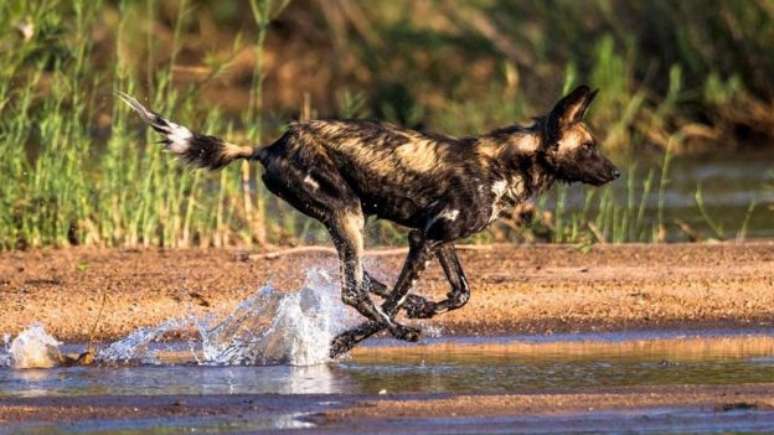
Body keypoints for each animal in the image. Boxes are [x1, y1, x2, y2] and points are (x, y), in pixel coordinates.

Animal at [119, 84, 620, 358]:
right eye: (589, 147)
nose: (616, 173)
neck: (505, 164)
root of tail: (269, 145)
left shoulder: (436, 239)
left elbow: (460, 293)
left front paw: (424, 306)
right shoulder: (425, 238)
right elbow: (389, 307)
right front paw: (347, 341)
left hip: (346, 218)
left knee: (361, 281)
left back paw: (416, 304)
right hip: (348, 214)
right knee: (353, 290)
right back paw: (401, 325)